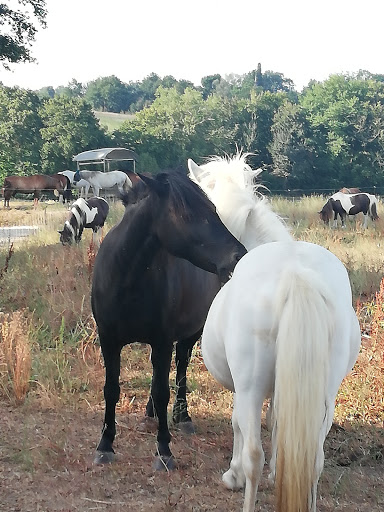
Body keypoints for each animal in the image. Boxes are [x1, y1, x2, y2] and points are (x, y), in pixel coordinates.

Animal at [90, 173, 246, 472]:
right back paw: (149, 416)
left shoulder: (162, 341)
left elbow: (163, 391)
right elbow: (111, 389)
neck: (126, 278)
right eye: (188, 214)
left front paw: (164, 451)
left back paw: (182, 417)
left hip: (189, 334)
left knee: (181, 368)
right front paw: (105, 444)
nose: (238, 255)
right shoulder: (109, 340)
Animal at [188, 155, 362, 512]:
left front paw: (233, 474)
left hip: (251, 386)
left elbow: (237, 423)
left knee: (254, 454)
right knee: (314, 459)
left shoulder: (242, 389)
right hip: (326, 392)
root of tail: (295, 275)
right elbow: (278, 423)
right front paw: (277, 472)